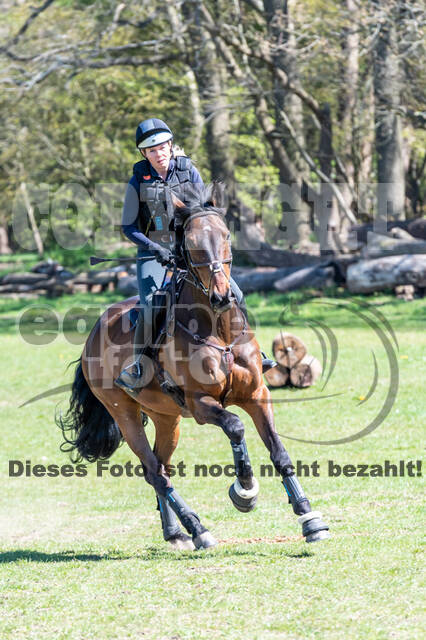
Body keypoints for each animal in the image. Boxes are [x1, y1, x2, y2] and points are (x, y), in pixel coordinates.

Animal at [57, 195, 330, 552]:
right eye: (191, 243)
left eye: (226, 235)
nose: (221, 296)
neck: (219, 330)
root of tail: (94, 330)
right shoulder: (200, 404)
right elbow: (236, 427)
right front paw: (245, 491)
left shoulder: (257, 395)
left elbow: (279, 452)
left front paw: (310, 519)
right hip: (124, 412)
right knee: (154, 472)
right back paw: (198, 529)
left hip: (166, 417)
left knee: (161, 468)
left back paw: (175, 533)